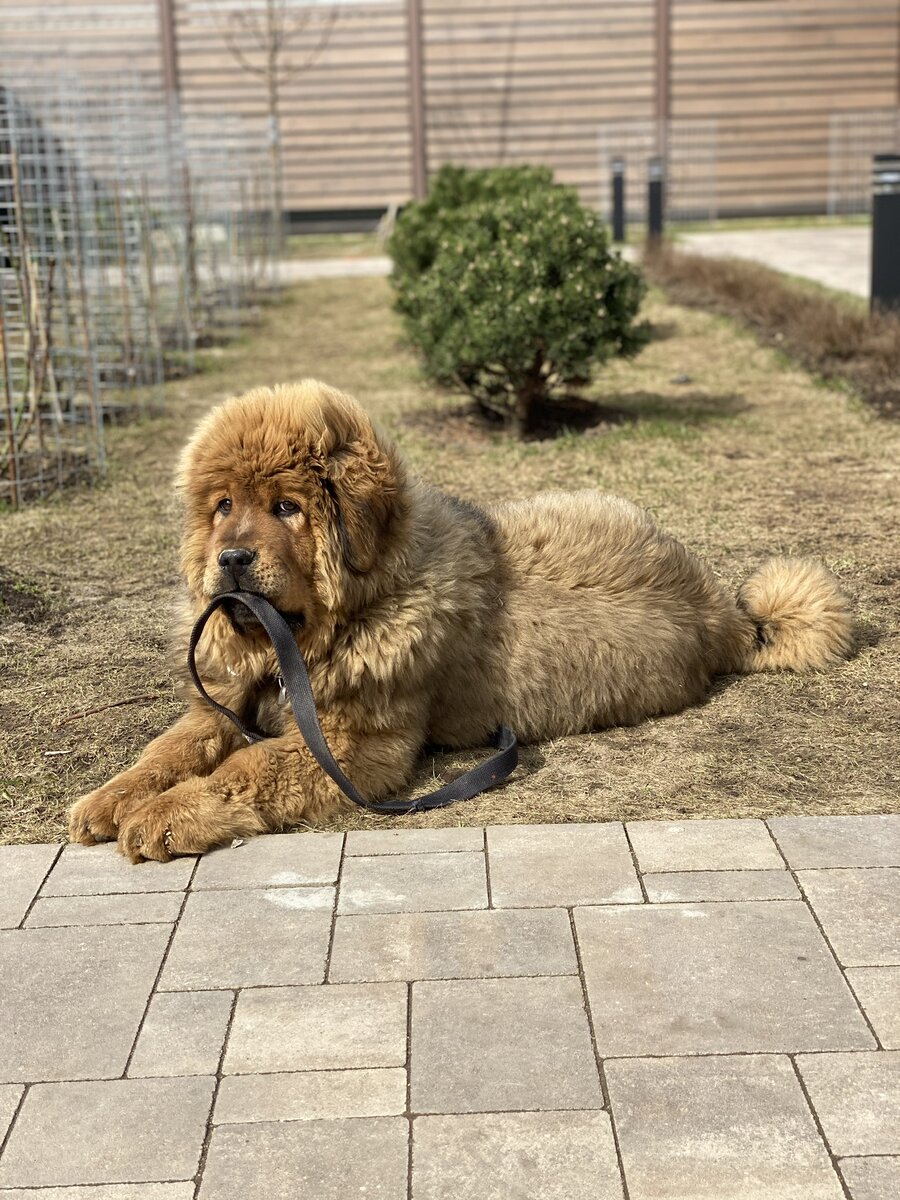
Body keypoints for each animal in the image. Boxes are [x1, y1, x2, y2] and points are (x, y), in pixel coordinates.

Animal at [66, 379, 854, 859]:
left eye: (287, 507)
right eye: (223, 505)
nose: (229, 558)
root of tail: (721, 613)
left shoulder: (360, 748)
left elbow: (249, 767)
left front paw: (164, 817)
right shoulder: (227, 699)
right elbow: (169, 747)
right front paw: (112, 799)